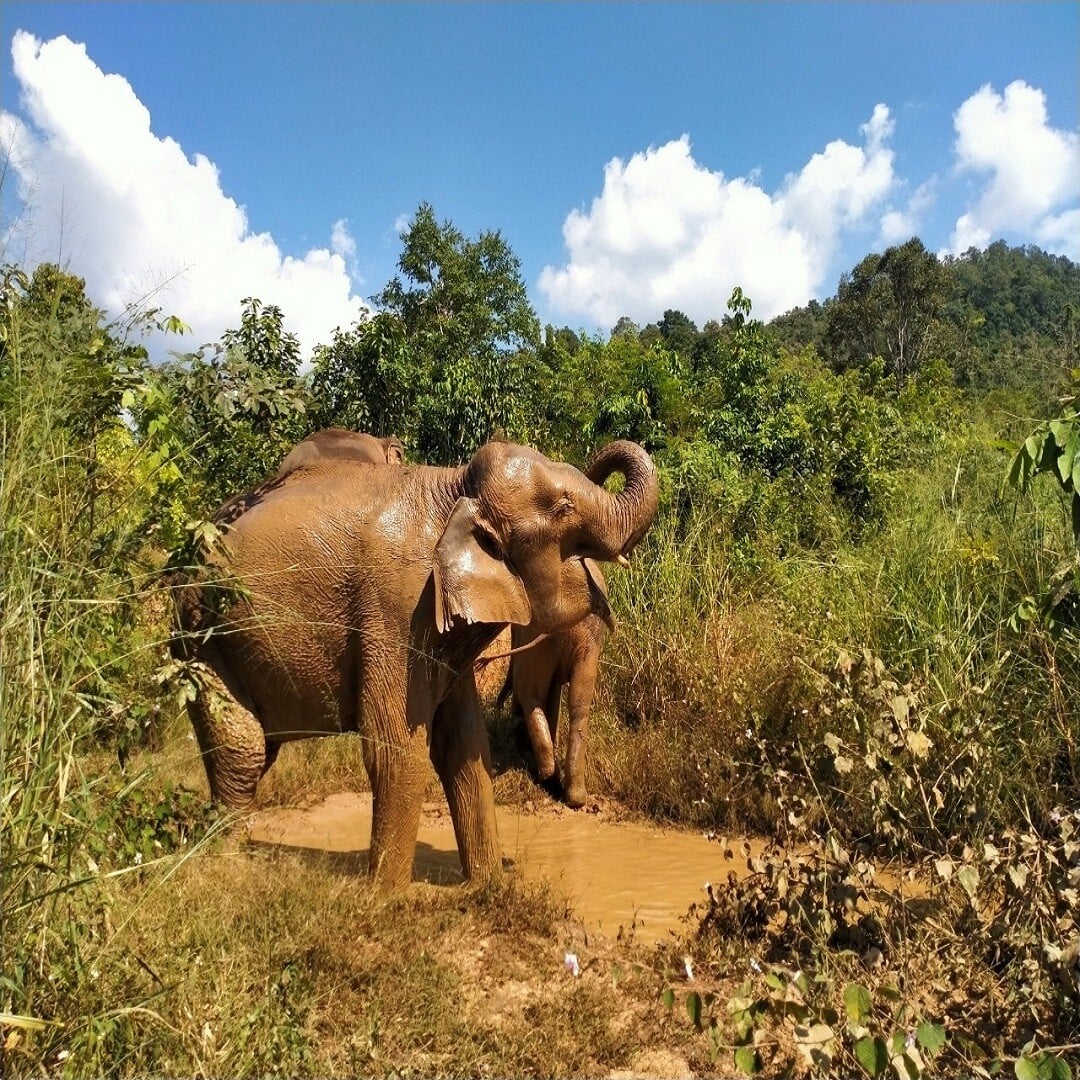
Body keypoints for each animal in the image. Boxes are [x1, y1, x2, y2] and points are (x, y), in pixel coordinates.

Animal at [171, 439, 658, 887]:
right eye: (563, 507)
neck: (455, 490)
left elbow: (464, 744)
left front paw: (487, 887)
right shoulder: (395, 610)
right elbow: (396, 748)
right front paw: (386, 900)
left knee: (253, 754)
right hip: (201, 640)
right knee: (243, 751)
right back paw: (228, 870)